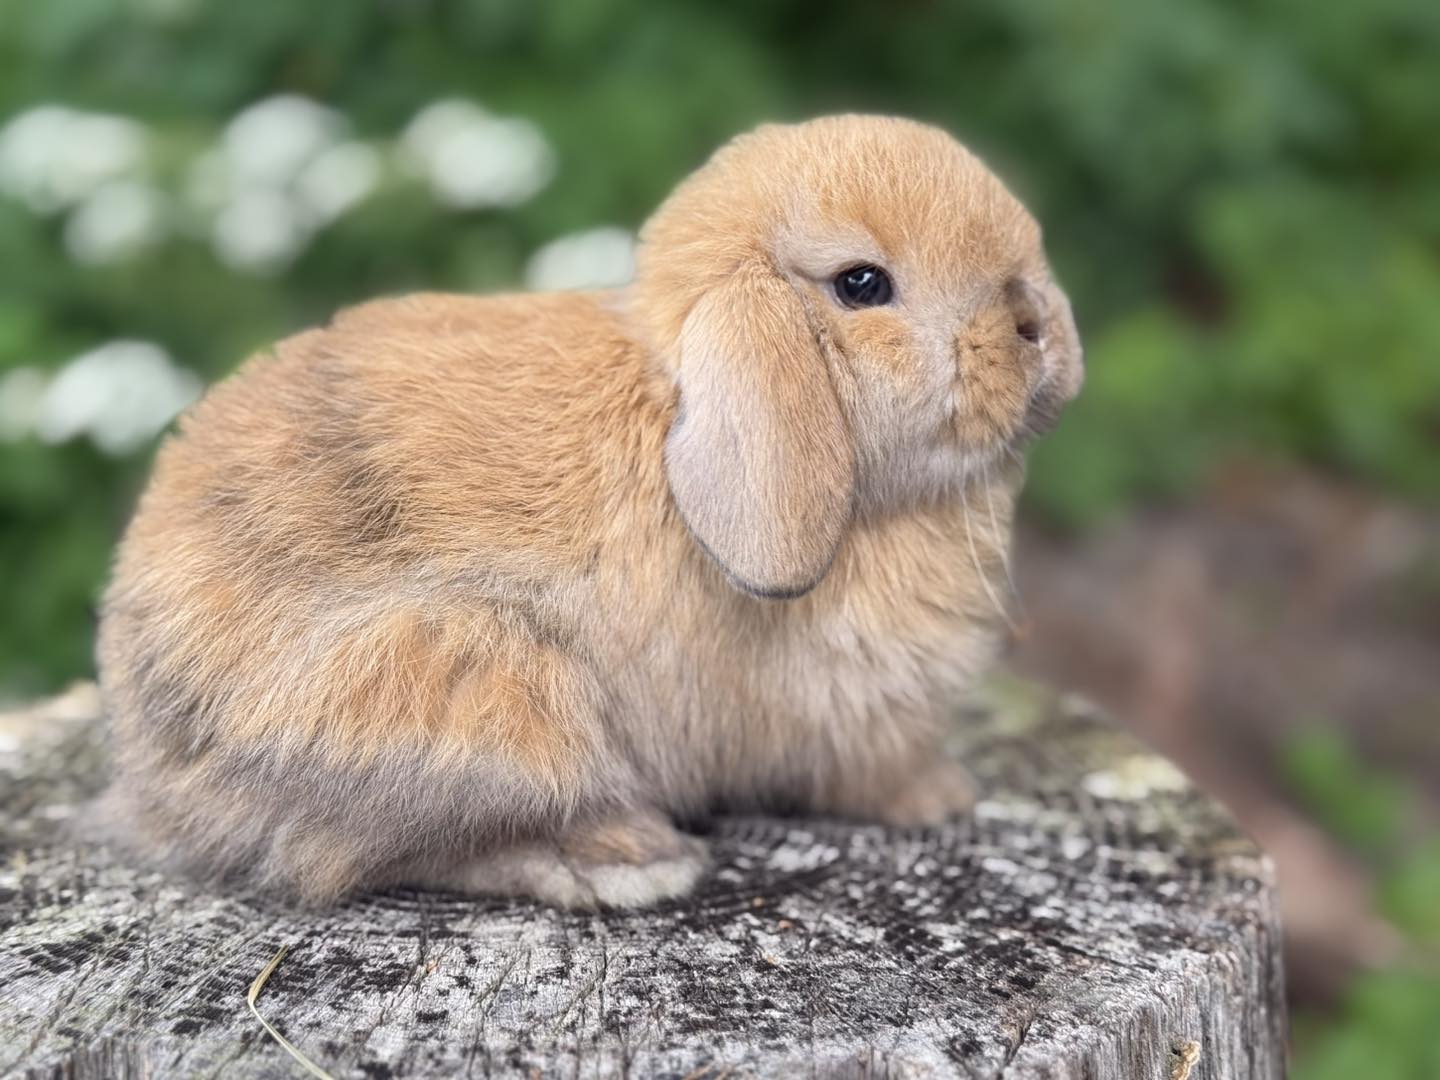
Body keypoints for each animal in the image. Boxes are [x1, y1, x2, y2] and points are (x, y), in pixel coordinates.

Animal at [95, 114, 1083, 909]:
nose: (1037, 326)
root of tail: (155, 764)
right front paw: (941, 798)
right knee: (360, 857)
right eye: (864, 285)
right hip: (481, 700)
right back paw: (631, 859)